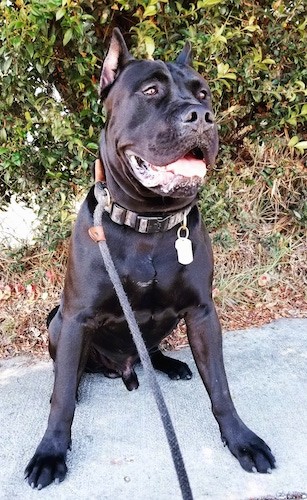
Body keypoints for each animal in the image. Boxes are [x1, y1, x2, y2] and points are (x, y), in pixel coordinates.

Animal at [24, 27, 276, 488]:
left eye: (204, 93)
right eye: (151, 91)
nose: (201, 116)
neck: (148, 222)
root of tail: (121, 367)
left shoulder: (202, 312)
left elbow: (221, 387)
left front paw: (241, 440)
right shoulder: (76, 315)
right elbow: (61, 399)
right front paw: (50, 451)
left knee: (151, 351)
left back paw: (170, 365)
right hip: (56, 320)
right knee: (70, 373)